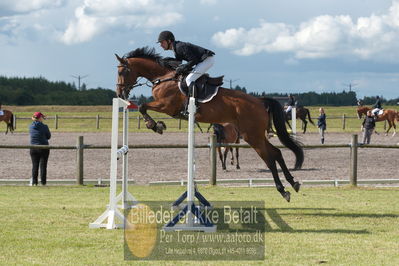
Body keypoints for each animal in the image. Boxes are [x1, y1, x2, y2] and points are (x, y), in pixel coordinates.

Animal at [115, 46, 304, 201]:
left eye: (122, 72)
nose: (119, 93)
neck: (163, 77)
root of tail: (259, 101)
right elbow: (143, 107)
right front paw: (157, 125)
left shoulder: (166, 106)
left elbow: (142, 107)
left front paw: (155, 126)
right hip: (255, 134)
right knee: (277, 152)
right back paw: (293, 183)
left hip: (252, 136)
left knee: (269, 158)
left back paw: (283, 190)